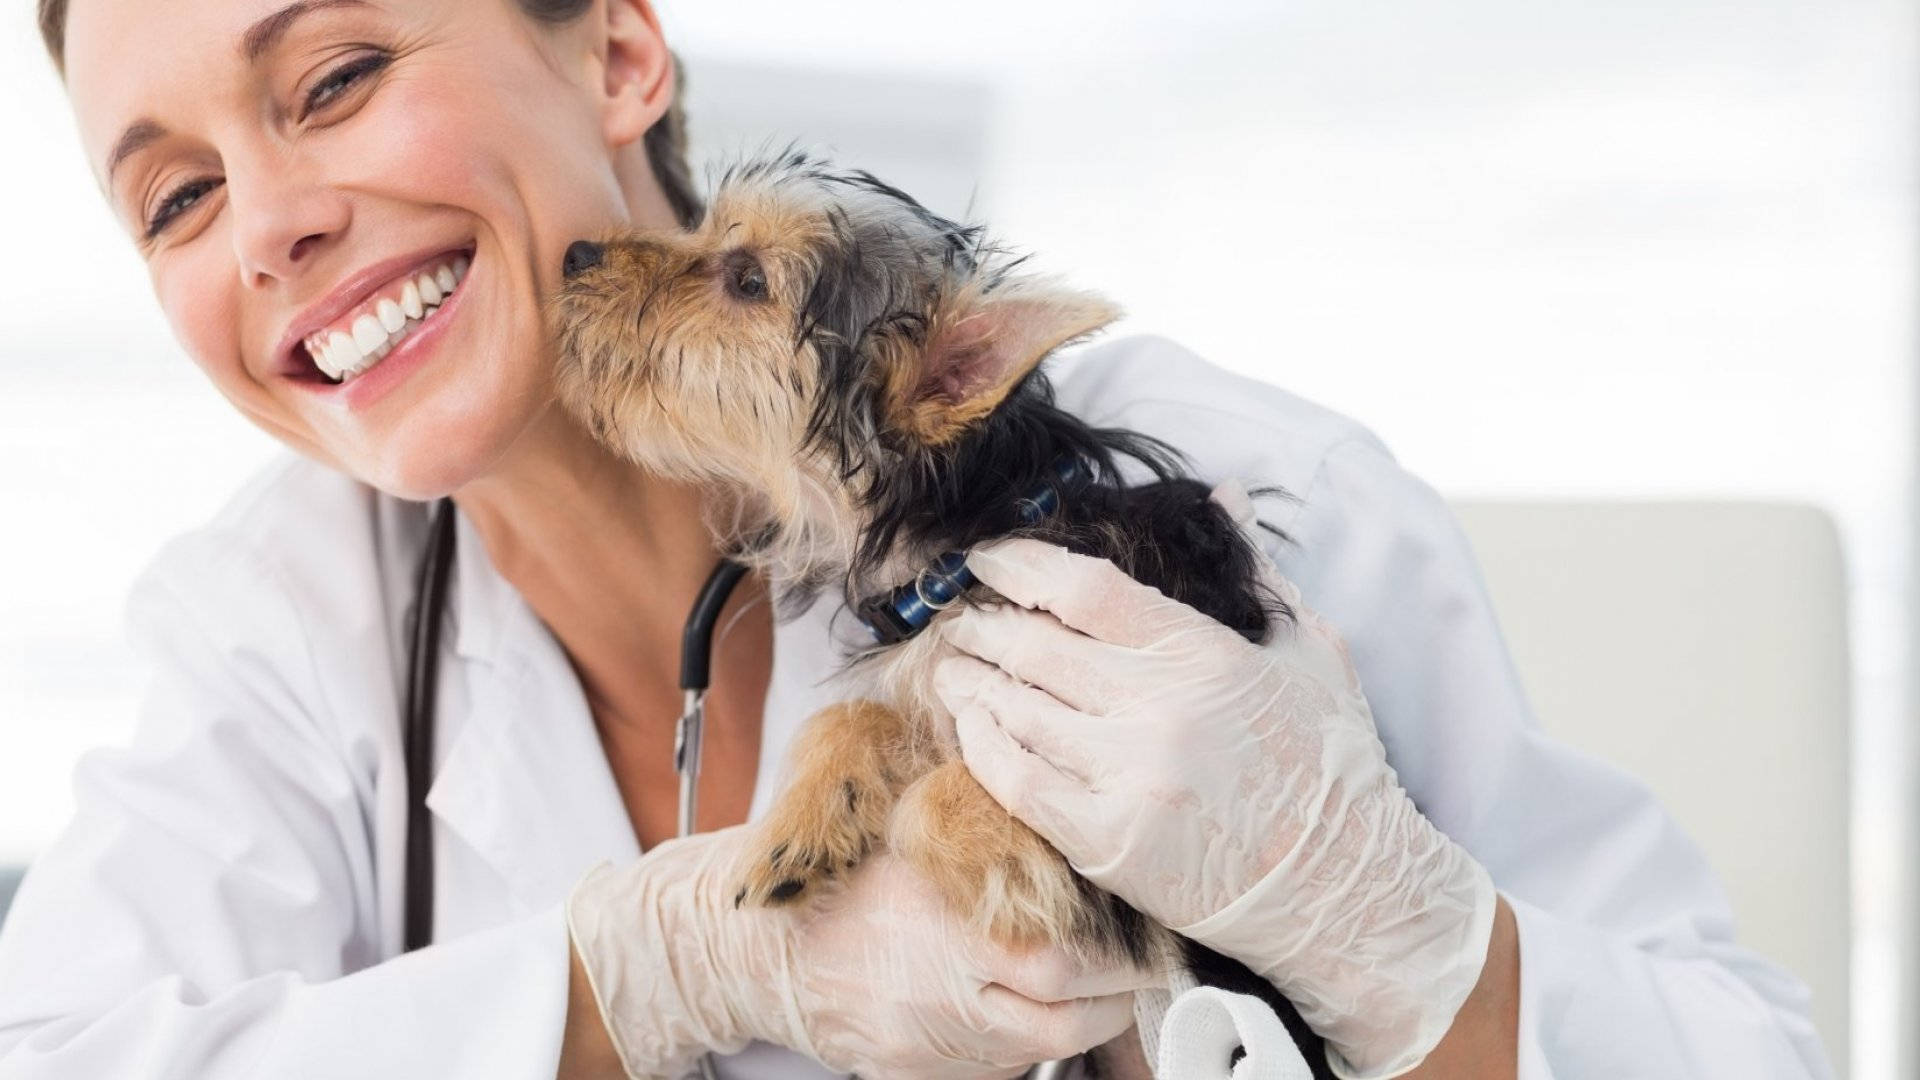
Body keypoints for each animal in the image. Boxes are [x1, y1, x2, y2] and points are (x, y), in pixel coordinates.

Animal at [552, 153, 1336, 1076]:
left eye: (747, 281)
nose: (574, 254)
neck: (961, 547)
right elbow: (855, 715)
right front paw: (803, 820)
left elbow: (937, 800)